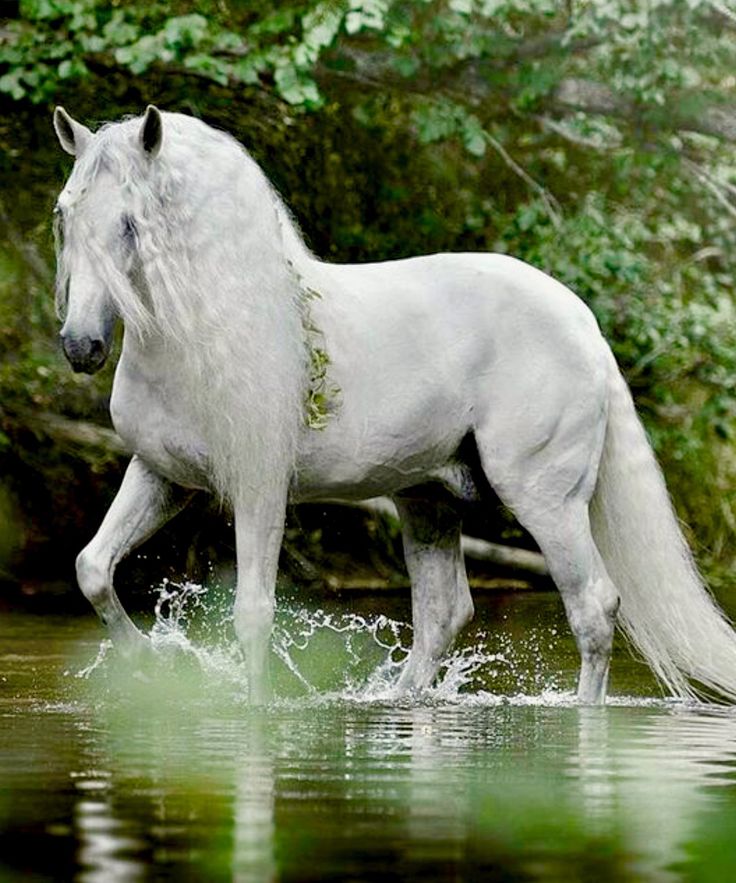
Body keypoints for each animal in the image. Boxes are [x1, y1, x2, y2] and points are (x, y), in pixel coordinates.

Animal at [53, 107, 736, 708]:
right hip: (429, 497)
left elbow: (253, 610)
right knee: (443, 614)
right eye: (64, 214)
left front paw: (254, 711)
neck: (201, 337)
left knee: (592, 605)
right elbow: (92, 567)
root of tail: (582, 323)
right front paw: (145, 661)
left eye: (131, 224)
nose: (80, 345)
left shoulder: (259, 489)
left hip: (547, 499)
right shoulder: (160, 475)